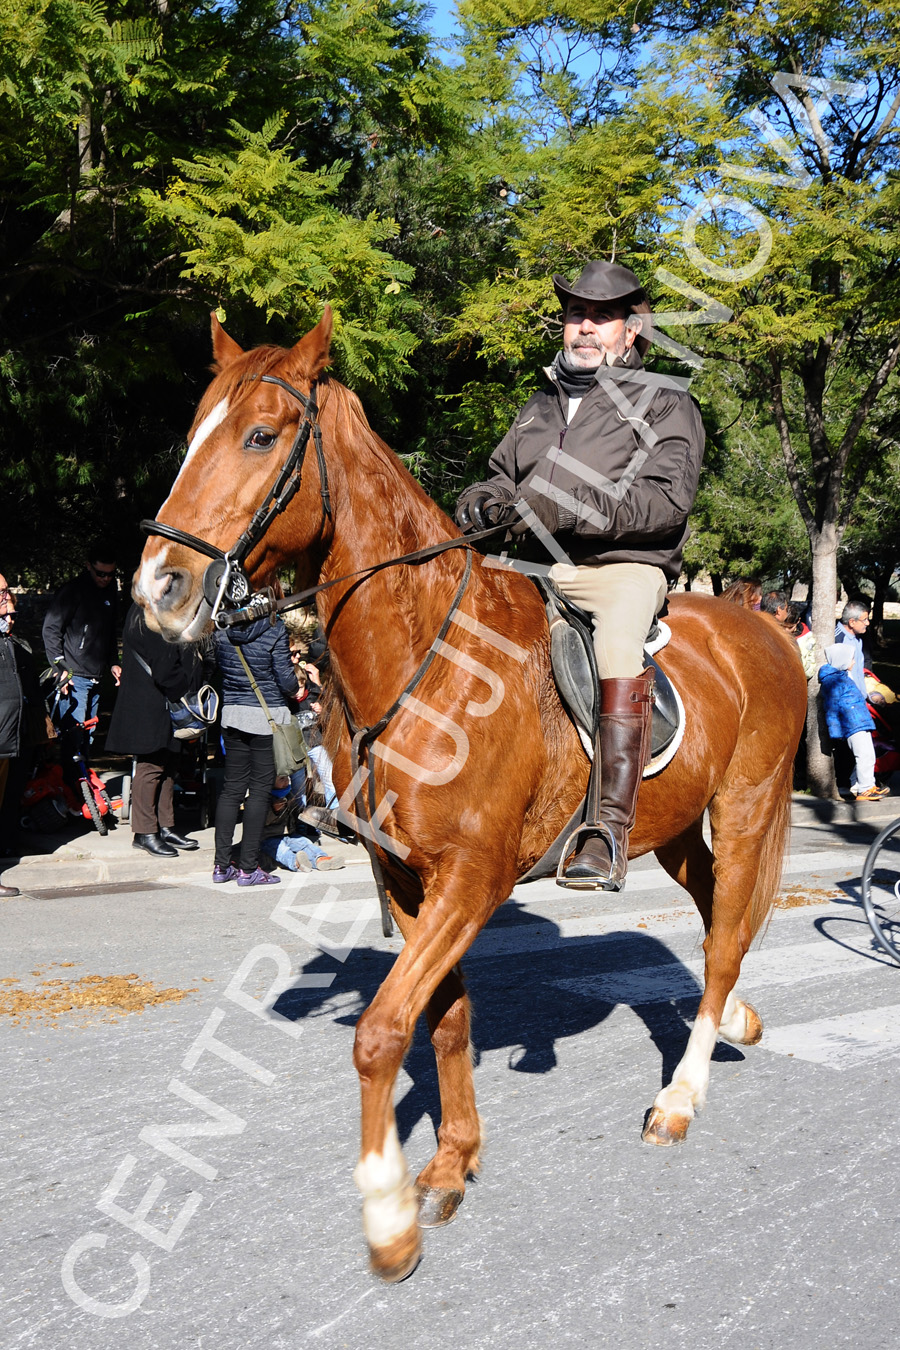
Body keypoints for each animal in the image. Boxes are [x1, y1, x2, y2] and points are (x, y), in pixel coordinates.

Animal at [135, 310, 809, 1279]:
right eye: (195, 433)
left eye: (261, 436)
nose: (160, 587)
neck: (426, 657)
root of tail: (767, 628)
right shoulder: (413, 882)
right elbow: (443, 1020)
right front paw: (452, 1163)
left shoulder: (472, 877)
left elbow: (381, 1030)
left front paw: (387, 1214)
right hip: (678, 826)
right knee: (724, 912)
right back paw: (740, 1022)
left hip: (749, 804)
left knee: (721, 945)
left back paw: (681, 1098)